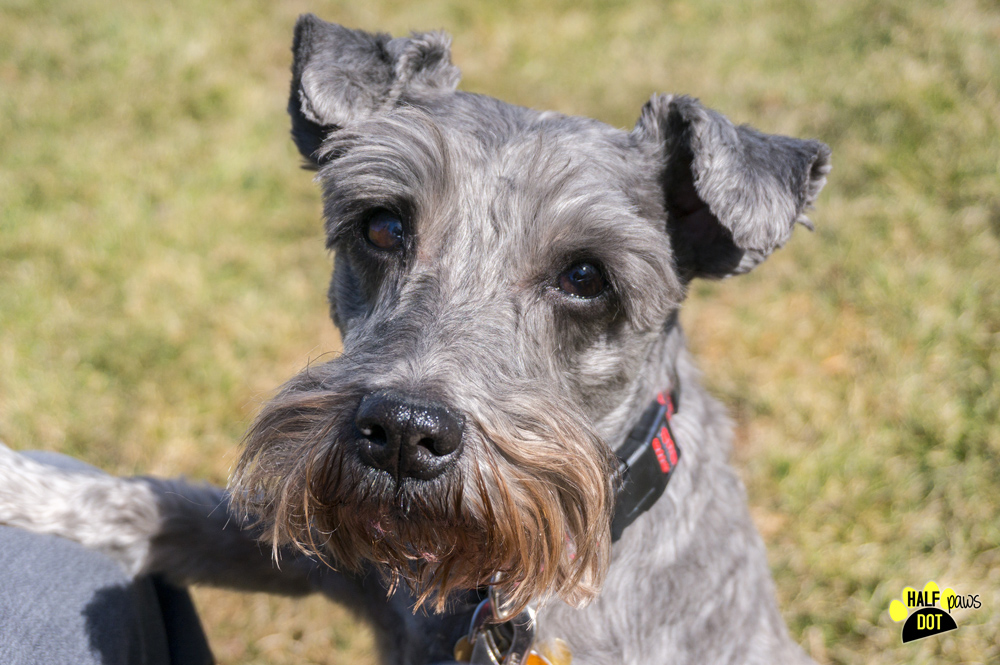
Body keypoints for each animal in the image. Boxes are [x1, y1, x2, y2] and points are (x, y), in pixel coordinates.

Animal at [0, 15, 828, 664]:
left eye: (587, 276)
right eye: (384, 224)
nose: (403, 430)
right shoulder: (323, 548)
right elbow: (161, 507)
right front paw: (27, 487)